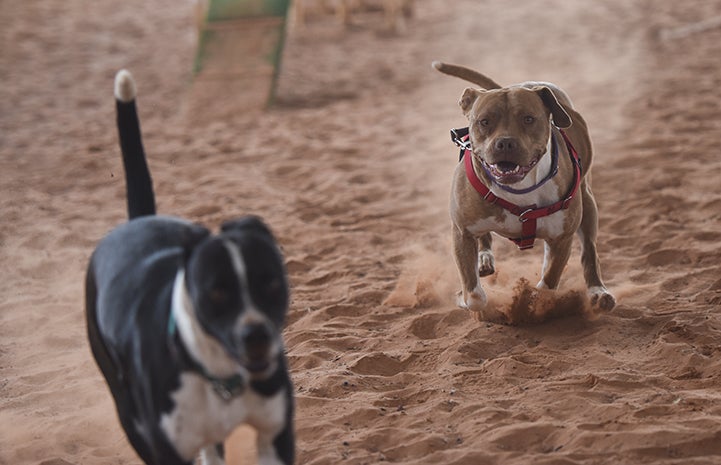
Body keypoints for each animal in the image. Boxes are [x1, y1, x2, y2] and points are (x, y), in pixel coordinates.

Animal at [86, 70, 294, 464]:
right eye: (216, 292)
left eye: (272, 283)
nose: (257, 334)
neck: (219, 375)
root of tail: (138, 222)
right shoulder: (164, 447)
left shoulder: (275, 434)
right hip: (127, 412)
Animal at [430, 60, 616, 320]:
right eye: (484, 121)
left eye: (528, 119)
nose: (505, 142)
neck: (518, 189)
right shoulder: (462, 233)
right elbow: (475, 296)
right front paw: (464, 299)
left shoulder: (562, 239)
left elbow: (548, 284)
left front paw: (531, 301)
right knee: (484, 240)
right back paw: (484, 258)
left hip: (587, 203)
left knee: (588, 250)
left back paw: (598, 292)